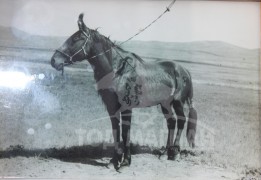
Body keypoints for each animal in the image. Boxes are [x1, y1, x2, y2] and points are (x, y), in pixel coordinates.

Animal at [50, 13, 197, 170]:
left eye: (76, 39)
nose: (54, 60)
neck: (118, 71)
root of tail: (184, 70)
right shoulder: (111, 106)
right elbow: (116, 129)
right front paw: (114, 160)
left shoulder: (127, 106)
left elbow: (126, 131)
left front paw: (126, 161)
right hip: (165, 104)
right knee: (171, 122)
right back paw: (165, 153)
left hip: (177, 102)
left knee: (181, 121)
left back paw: (175, 153)